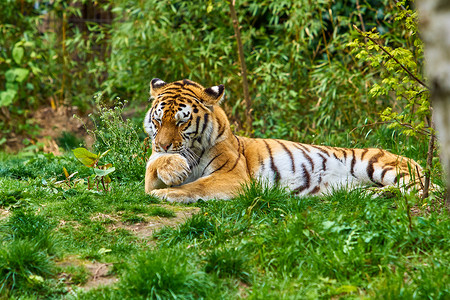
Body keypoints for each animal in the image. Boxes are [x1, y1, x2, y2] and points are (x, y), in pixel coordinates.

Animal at [142, 78, 424, 203]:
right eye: (158, 120)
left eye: (182, 122)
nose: (163, 145)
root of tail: (416, 160)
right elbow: (152, 167)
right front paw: (172, 169)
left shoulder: (232, 176)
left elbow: (196, 186)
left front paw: (166, 192)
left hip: (379, 165)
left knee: (423, 191)